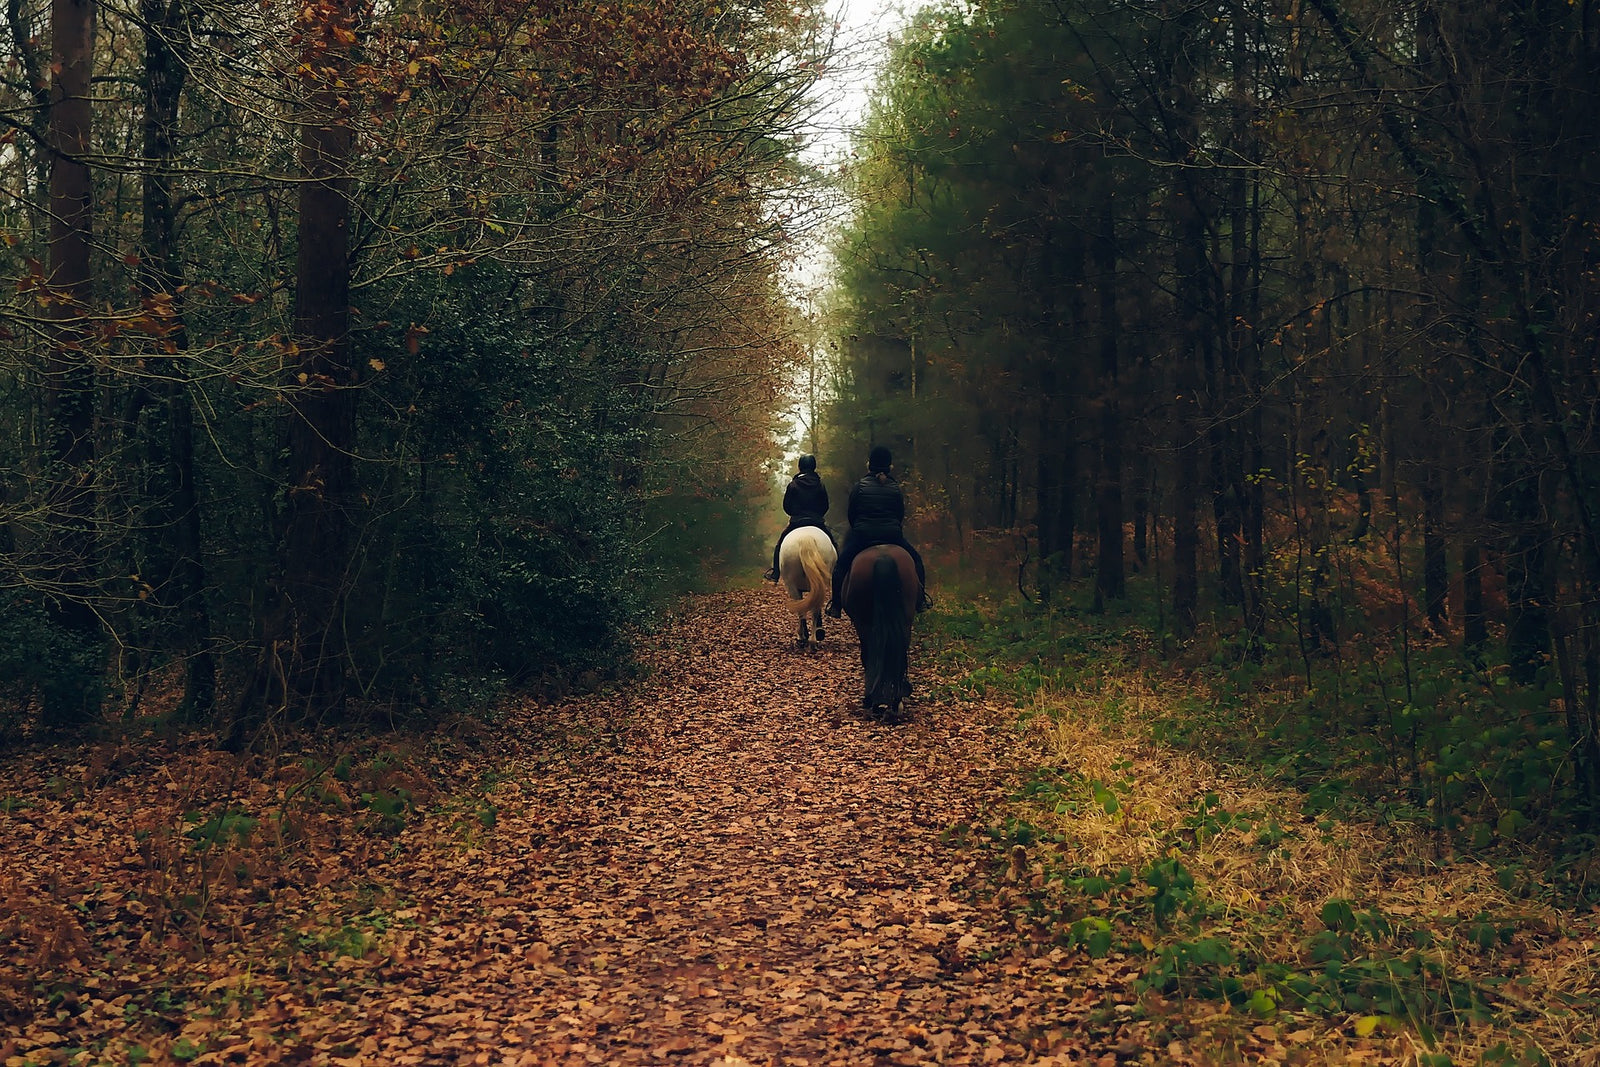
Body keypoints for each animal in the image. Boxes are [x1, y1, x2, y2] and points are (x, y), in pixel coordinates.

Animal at [777, 524, 838, 652]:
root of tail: (806, 538)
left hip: (791, 586)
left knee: (803, 611)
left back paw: (803, 638)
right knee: (814, 610)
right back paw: (813, 640)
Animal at [844, 547, 921, 723]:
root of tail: (883, 557)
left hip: (863, 622)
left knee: (870, 655)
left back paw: (872, 701)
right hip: (905, 619)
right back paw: (895, 703)